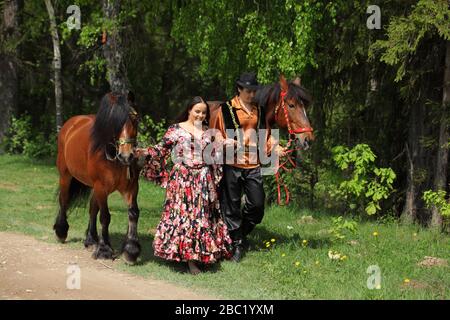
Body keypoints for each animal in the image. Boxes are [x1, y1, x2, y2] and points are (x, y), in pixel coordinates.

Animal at [54, 91, 142, 264]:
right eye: (113, 122)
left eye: (135, 119)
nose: (126, 156)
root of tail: (70, 124)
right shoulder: (101, 187)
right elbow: (105, 216)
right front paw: (104, 250)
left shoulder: (131, 188)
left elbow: (133, 213)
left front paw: (131, 250)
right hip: (66, 176)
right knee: (64, 199)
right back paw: (61, 231)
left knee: (92, 208)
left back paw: (91, 239)